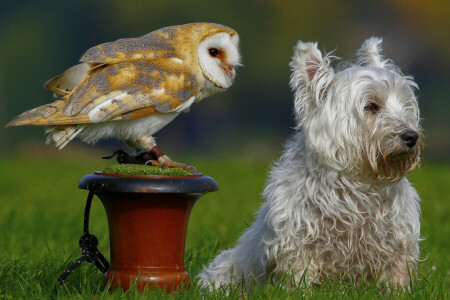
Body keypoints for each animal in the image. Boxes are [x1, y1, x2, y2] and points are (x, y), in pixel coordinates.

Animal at [199, 36, 424, 290]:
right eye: (371, 106)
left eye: (406, 107)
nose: (411, 136)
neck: (356, 184)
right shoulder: (296, 242)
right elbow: (299, 275)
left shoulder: (398, 241)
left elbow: (397, 274)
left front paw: (400, 291)